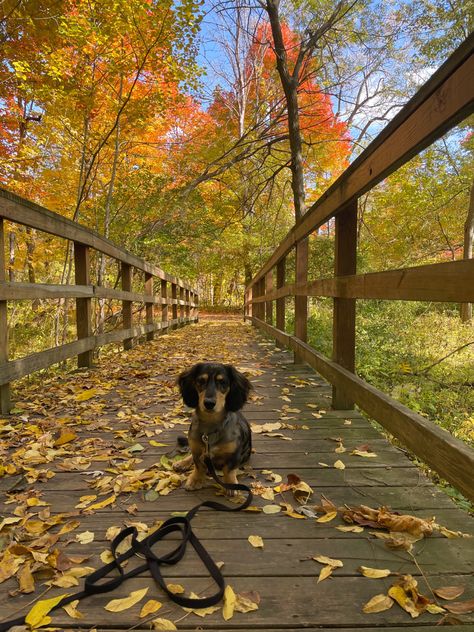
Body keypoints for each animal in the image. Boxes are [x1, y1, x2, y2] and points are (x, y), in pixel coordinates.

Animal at [174, 360, 252, 494]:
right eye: (201, 381)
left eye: (223, 382)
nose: (209, 403)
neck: (210, 426)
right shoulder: (197, 449)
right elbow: (198, 466)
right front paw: (196, 480)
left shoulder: (234, 455)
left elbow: (228, 470)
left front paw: (230, 484)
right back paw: (182, 463)